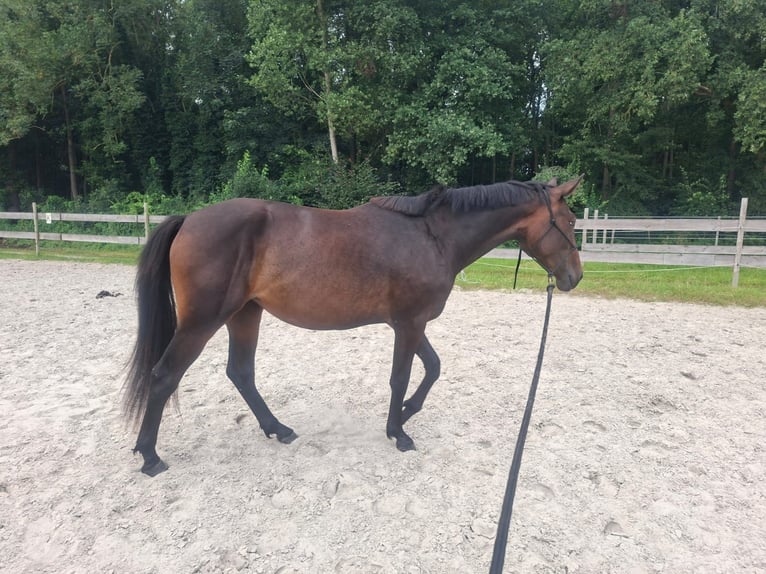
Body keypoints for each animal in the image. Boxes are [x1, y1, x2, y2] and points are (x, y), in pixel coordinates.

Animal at [123, 177, 583, 476]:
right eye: (572, 221)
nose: (574, 277)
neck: (432, 236)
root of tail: (189, 220)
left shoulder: (411, 322)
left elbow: (433, 368)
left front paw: (408, 412)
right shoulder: (409, 324)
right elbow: (402, 377)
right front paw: (398, 432)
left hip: (245, 314)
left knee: (241, 373)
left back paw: (278, 429)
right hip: (202, 322)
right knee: (164, 376)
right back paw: (150, 456)